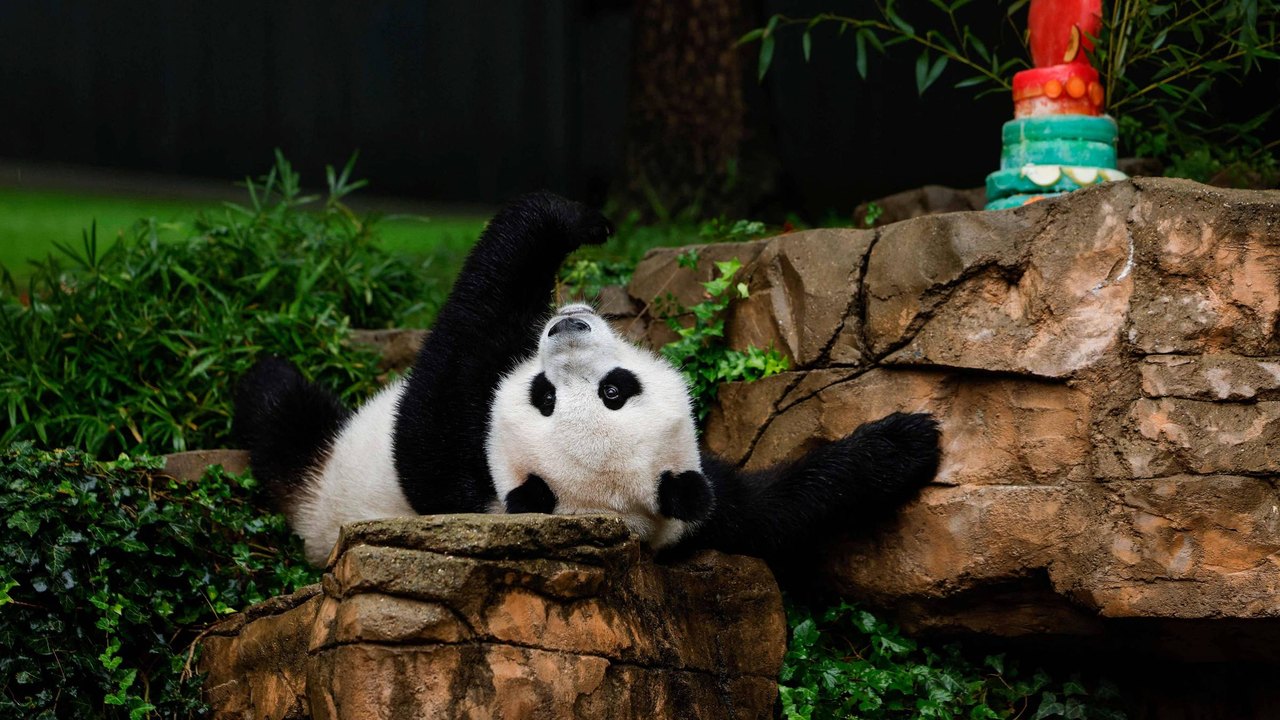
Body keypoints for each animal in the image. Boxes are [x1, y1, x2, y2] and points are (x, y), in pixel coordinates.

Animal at [233, 192, 941, 567]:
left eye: (612, 391)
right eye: (545, 396)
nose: (566, 328)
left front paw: (902, 445)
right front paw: (908, 443)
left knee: (279, 413)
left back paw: (261, 375)